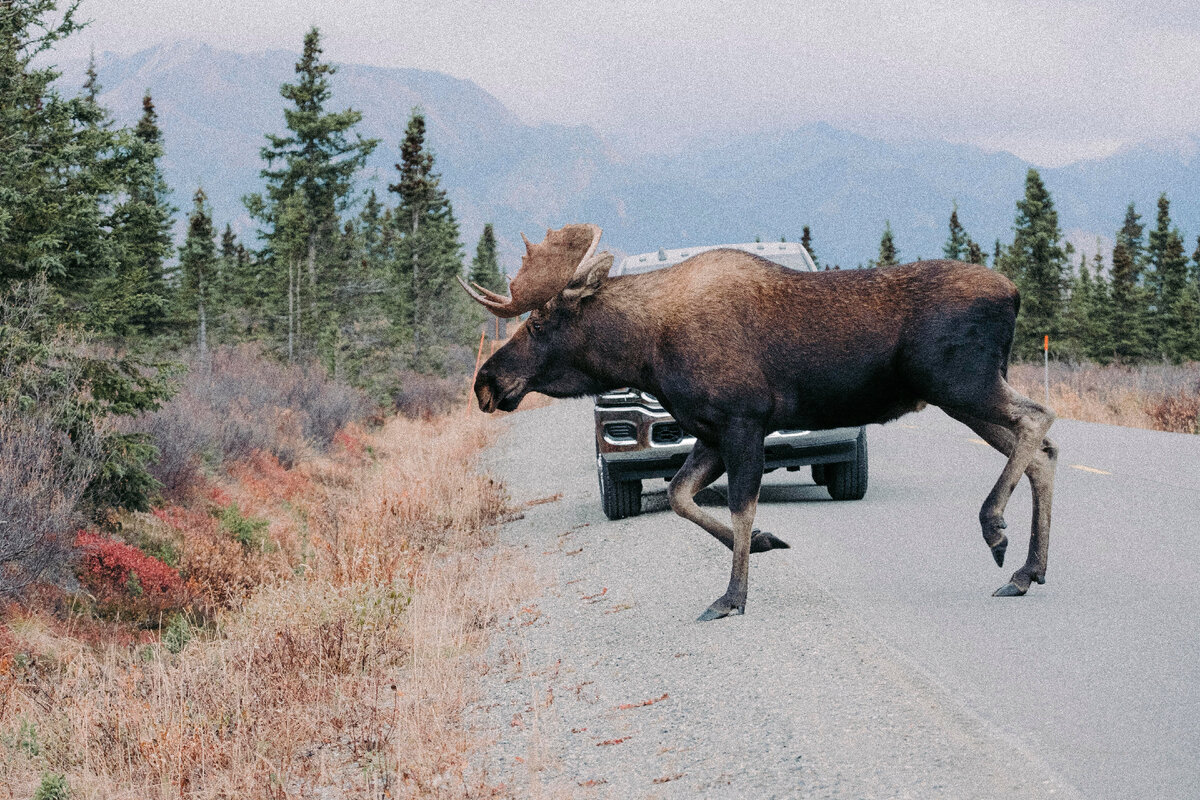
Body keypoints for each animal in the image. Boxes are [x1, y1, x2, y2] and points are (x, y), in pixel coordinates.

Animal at [458, 221, 1060, 623]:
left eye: (540, 323)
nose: (485, 382)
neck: (645, 352)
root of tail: (1014, 293)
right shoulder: (708, 431)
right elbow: (680, 495)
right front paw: (770, 542)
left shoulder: (742, 420)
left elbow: (739, 507)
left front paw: (732, 597)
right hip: (963, 395)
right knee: (1043, 454)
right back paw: (1026, 572)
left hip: (962, 384)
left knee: (1040, 420)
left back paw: (994, 528)